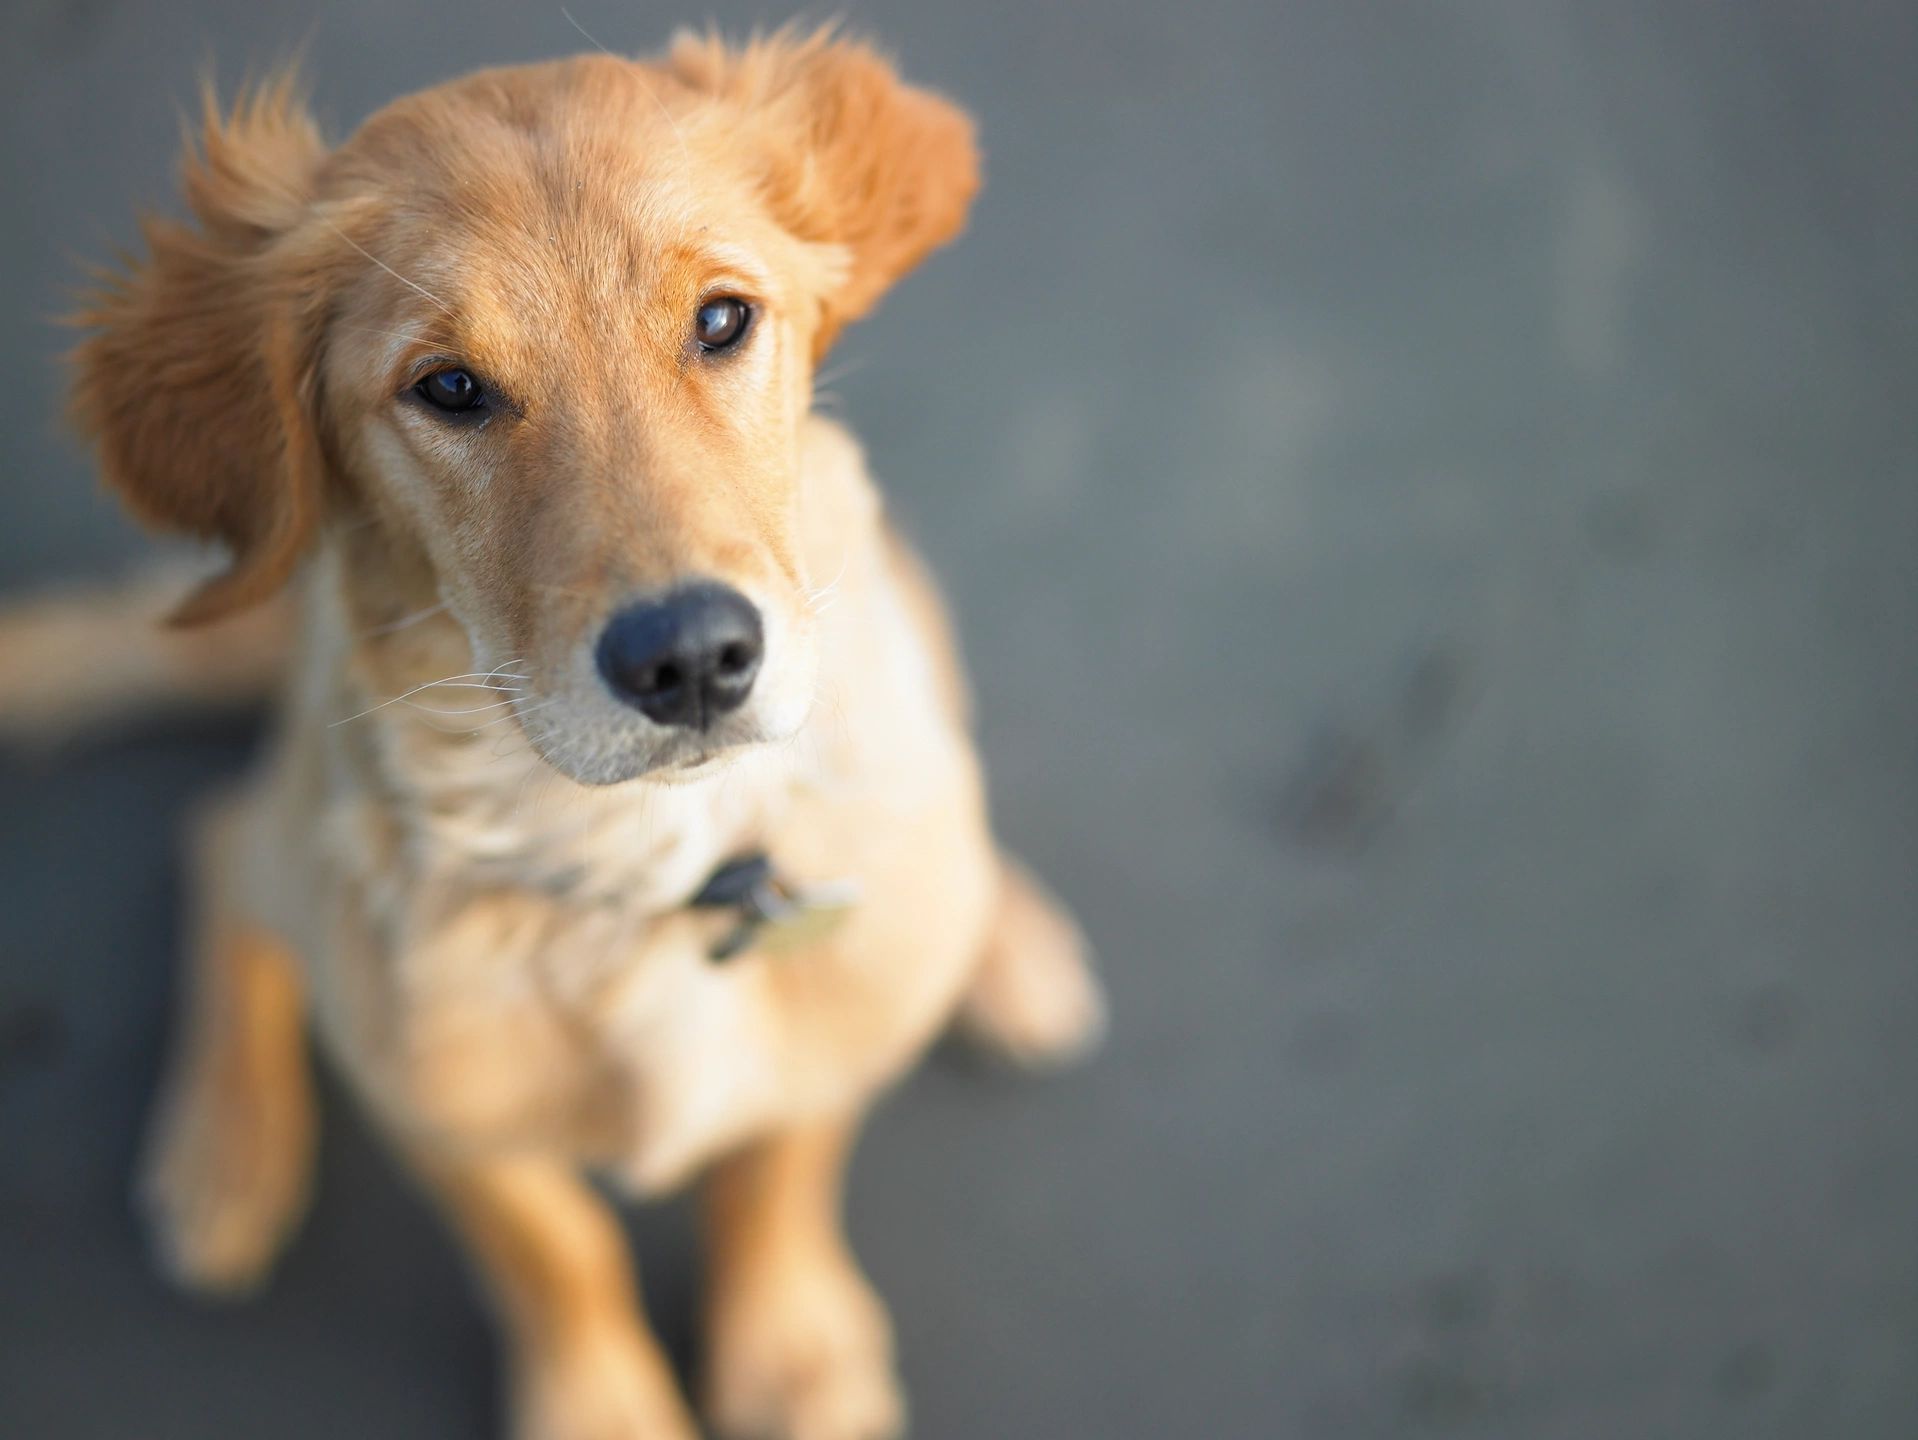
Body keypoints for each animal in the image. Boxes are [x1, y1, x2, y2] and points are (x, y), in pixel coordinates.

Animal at [3, 30, 1112, 1440]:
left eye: (720, 320)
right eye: (449, 389)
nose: (691, 658)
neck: (646, 859)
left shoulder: (828, 1035)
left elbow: (778, 1167)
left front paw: (791, 1353)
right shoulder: (439, 1106)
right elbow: (551, 1248)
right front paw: (602, 1403)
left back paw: (1003, 941)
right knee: (218, 843)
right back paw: (225, 1150)